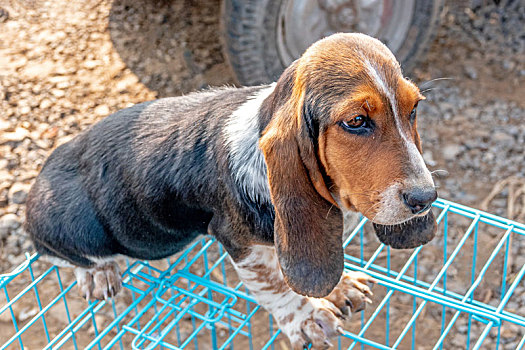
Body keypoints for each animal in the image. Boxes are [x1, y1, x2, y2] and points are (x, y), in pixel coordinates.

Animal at [25, 32, 434, 348]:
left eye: (414, 109)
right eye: (356, 121)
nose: (426, 198)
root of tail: (43, 172)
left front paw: (338, 287)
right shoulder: (240, 242)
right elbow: (274, 284)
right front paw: (306, 318)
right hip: (82, 227)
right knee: (55, 254)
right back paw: (98, 274)